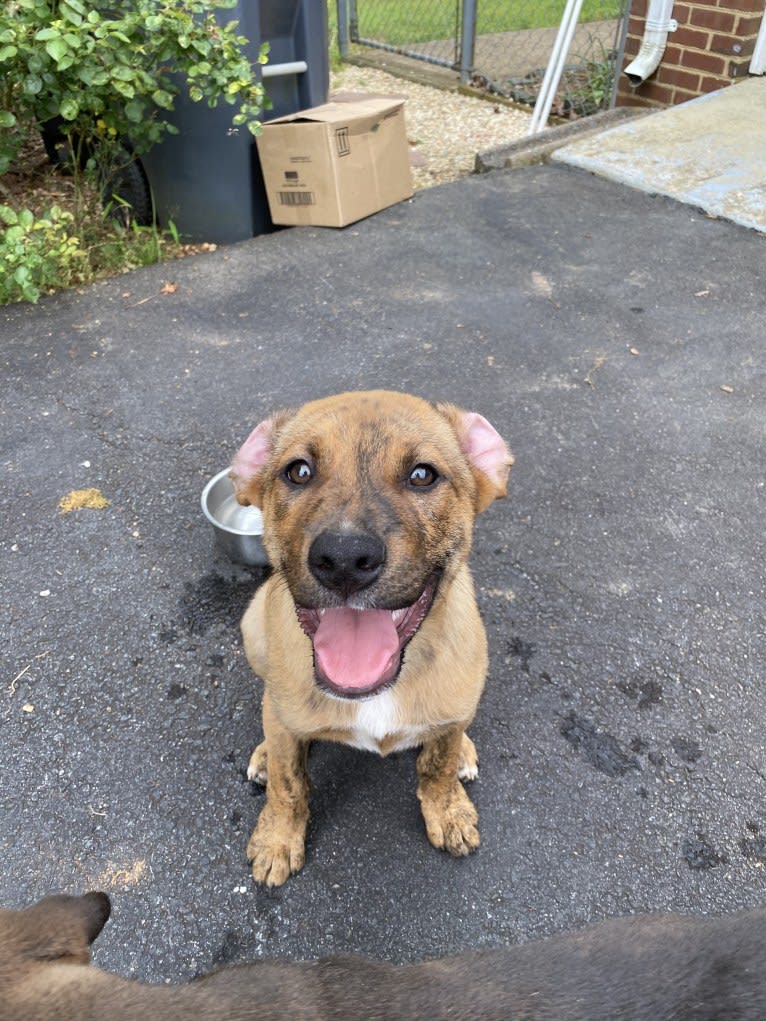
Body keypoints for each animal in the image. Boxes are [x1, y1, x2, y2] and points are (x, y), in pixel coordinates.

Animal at [230, 390, 512, 886]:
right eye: (298, 471)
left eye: (422, 475)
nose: (343, 559)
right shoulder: (287, 730)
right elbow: (289, 783)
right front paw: (277, 840)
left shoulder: (451, 712)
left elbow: (436, 766)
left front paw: (449, 810)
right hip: (254, 627)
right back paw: (265, 754)